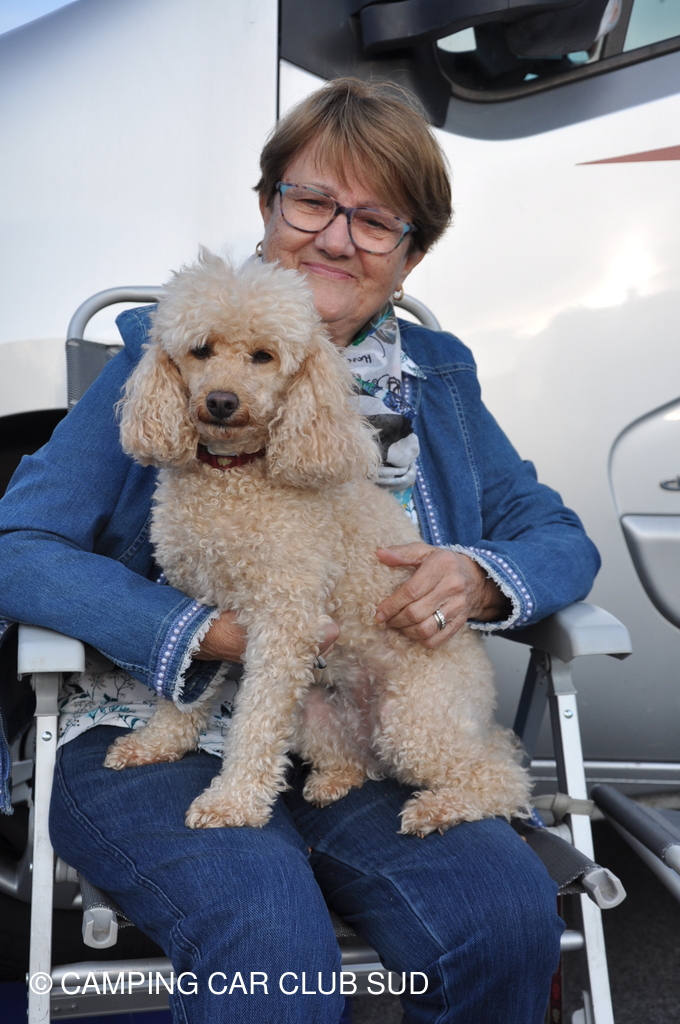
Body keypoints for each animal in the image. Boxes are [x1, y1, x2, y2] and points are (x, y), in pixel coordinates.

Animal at [104, 250, 530, 835]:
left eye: (263, 356)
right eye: (200, 350)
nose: (221, 401)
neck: (235, 474)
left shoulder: (286, 619)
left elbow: (255, 725)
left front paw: (232, 803)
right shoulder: (204, 610)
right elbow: (186, 691)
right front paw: (155, 745)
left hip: (414, 720)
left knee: (503, 779)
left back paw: (436, 807)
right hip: (313, 712)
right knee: (359, 762)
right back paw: (334, 780)